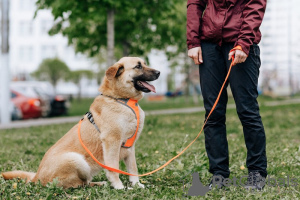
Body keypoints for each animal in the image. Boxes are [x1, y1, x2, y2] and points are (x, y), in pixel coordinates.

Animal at [1, 56, 159, 189]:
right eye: (138, 66)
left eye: (144, 63)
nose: (159, 72)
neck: (121, 100)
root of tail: (37, 177)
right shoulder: (112, 142)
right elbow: (114, 168)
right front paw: (119, 187)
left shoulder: (130, 148)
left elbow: (133, 169)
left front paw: (136, 185)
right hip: (76, 159)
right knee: (77, 184)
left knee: (84, 182)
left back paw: (100, 183)